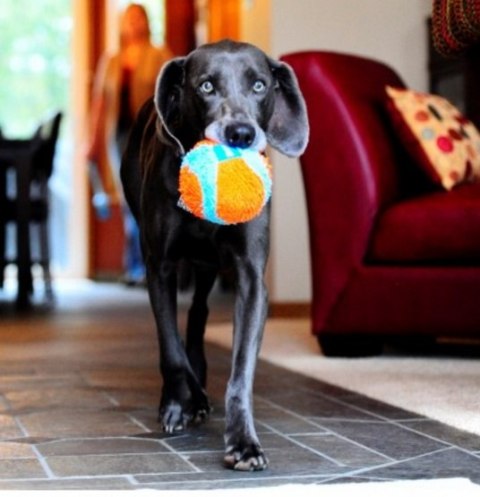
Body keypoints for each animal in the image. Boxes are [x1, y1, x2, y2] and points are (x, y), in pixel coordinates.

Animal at [120, 39, 308, 468]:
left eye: (259, 86)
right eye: (206, 86)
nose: (240, 133)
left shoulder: (252, 280)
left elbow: (241, 371)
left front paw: (243, 443)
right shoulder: (159, 268)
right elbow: (170, 348)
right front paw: (177, 405)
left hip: (207, 266)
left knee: (199, 312)